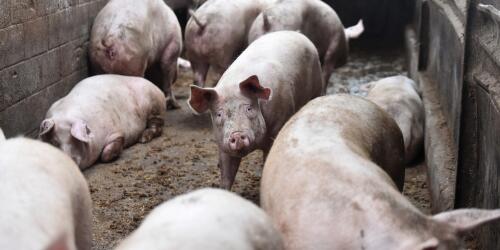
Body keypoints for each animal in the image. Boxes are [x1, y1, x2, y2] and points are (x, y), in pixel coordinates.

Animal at [188, 30, 324, 189]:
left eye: (249, 108)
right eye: (219, 114)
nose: (237, 135)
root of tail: (296, 33)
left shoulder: (278, 126)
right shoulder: (222, 143)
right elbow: (227, 174)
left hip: (317, 85)